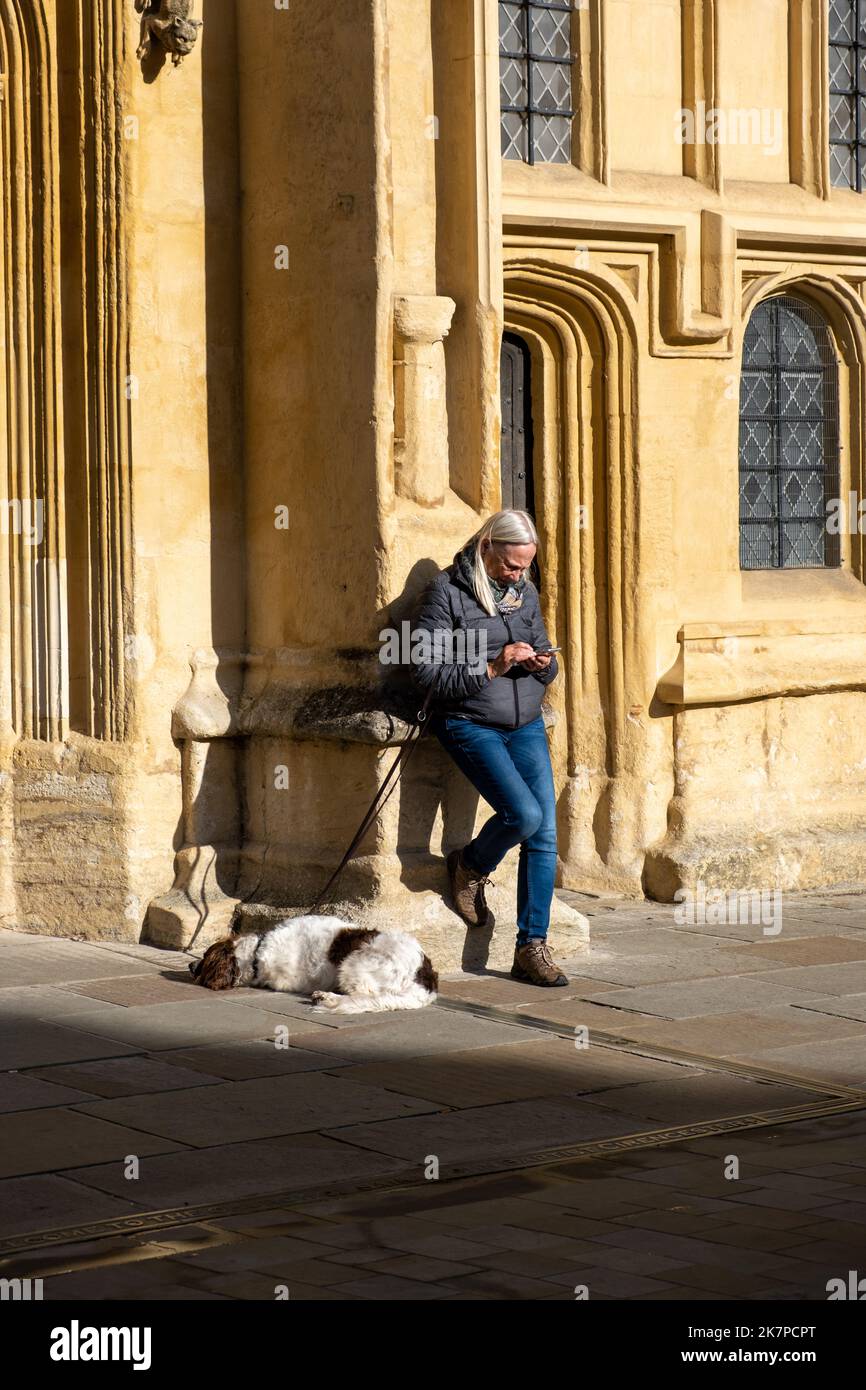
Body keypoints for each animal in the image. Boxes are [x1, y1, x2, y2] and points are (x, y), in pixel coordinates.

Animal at [186, 917, 436, 1017]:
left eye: (205, 956)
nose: (190, 964)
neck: (257, 951)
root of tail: (426, 984)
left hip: (354, 963)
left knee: (363, 995)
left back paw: (327, 998)